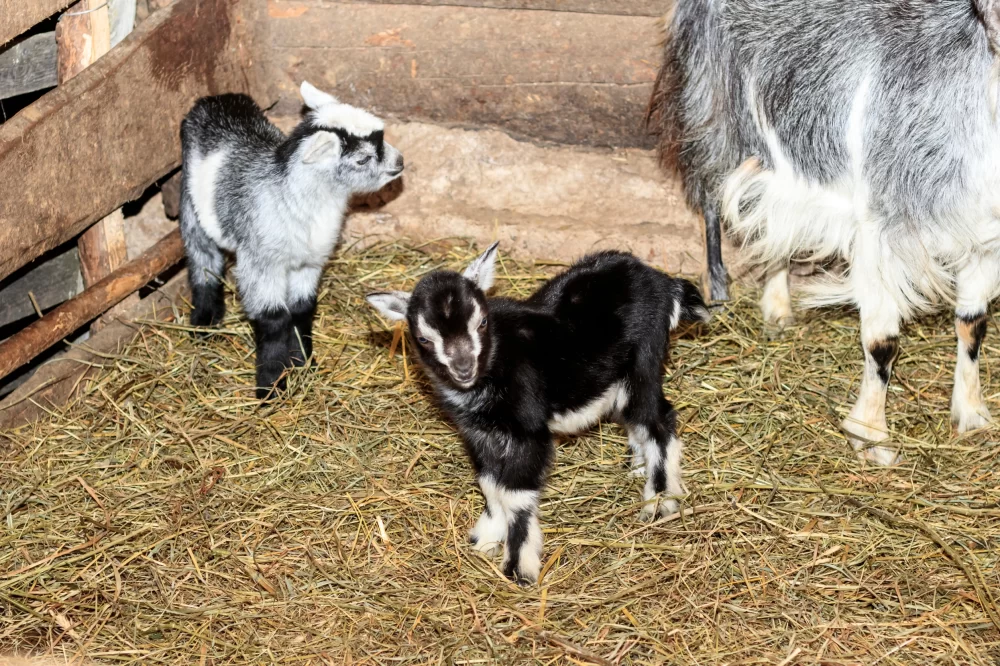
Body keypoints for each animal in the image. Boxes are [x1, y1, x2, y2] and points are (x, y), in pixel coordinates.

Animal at [364, 244, 708, 580]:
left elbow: (514, 493)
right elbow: (490, 485)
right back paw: (639, 468)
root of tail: (664, 283)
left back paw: (660, 500)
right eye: (424, 338)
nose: (464, 369)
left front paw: (519, 567)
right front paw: (486, 538)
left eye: (482, 322)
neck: (497, 361)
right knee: (638, 422)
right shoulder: (479, 433)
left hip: (643, 362)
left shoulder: (528, 431)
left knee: (659, 420)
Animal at [652, 0, 1000, 464]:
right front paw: (870, 436)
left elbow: (973, 324)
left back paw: (778, 308)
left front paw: (972, 414)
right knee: (711, 197)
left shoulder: (984, 240)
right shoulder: (880, 232)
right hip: (711, 107)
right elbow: (883, 342)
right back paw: (721, 296)